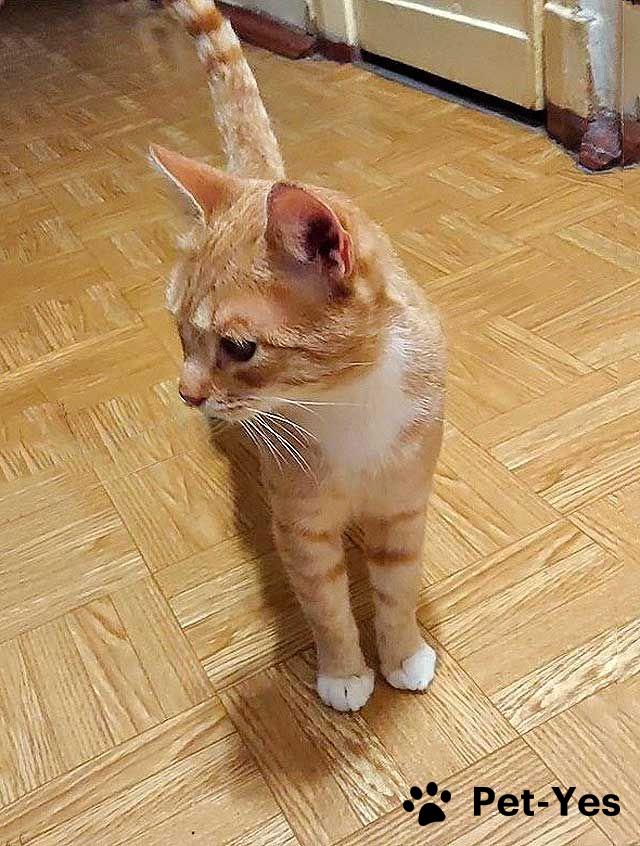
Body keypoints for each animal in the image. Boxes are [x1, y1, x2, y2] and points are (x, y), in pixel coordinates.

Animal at [151, 0, 446, 712]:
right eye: (180, 332)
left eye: (238, 347)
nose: (187, 393)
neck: (350, 401)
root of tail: (259, 176)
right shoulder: (304, 528)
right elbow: (328, 608)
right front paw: (343, 672)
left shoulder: (403, 507)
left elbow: (396, 593)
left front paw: (402, 654)